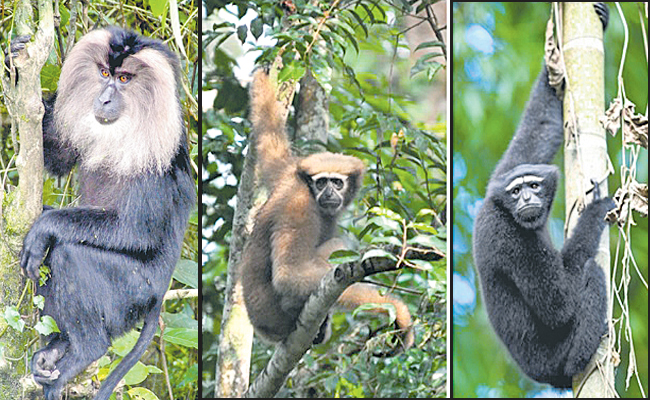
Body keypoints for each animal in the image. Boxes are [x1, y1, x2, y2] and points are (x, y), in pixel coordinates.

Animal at [17, 27, 195, 400]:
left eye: (124, 79)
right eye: (103, 74)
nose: (104, 100)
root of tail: (157, 301)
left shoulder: (151, 155)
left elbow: (136, 232)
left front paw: (44, 225)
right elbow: (56, 156)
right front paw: (14, 60)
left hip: (131, 293)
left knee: (68, 254)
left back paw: (86, 350)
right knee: (48, 258)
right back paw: (57, 348)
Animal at [240, 69, 414, 354]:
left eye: (337, 182)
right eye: (321, 182)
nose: (329, 193)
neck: (306, 188)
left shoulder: (288, 171)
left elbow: (269, 138)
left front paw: (265, 78)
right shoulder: (299, 206)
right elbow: (289, 274)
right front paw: (395, 309)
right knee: (336, 247)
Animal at [472, 4, 613, 388]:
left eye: (533, 186)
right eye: (516, 191)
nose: (525, 200)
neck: (500, 208)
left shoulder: (501, 178)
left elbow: (539, 128)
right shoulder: (509, 236)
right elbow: (559, 307)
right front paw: (596, 210)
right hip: (561, 357)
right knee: (592, 273)